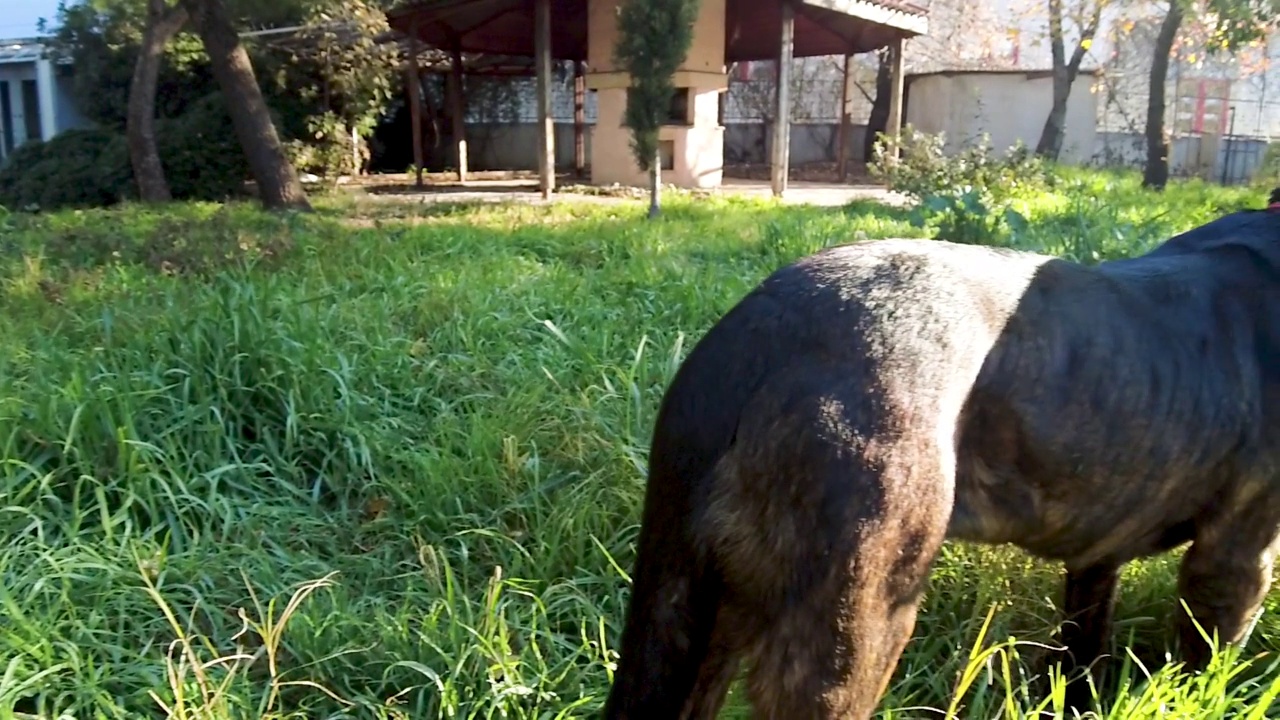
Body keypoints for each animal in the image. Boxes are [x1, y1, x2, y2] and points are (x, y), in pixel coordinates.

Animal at [599, 188, 1280, 712]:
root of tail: (757, 334)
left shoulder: (1100, 546)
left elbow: (1083, 643)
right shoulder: (1233, 560)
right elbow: (1201, 669)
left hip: (687, 616)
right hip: (857, 629)